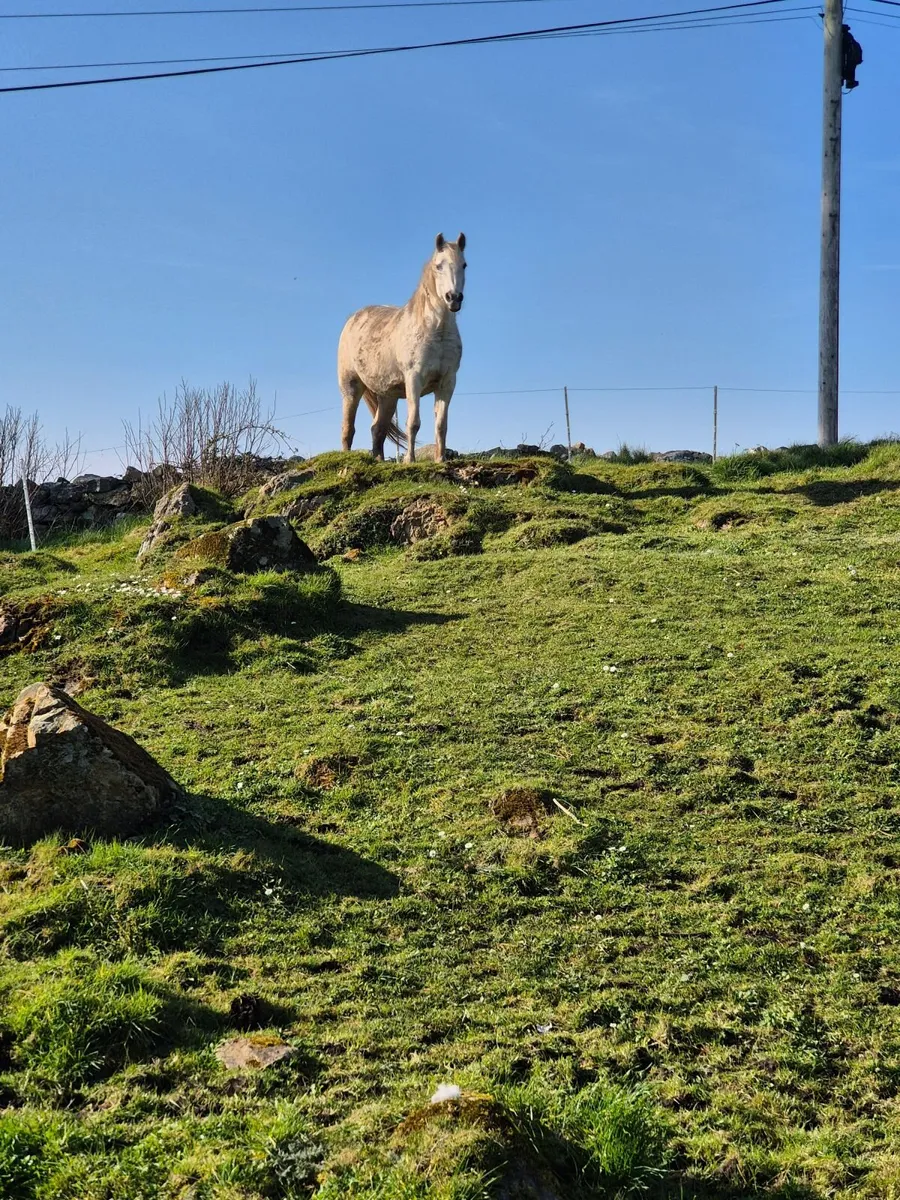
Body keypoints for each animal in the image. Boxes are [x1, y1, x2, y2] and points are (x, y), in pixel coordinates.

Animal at [337, 232, 466, 463]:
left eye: (464, 265)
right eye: (438, 266)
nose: (454, 298)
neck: (437, 331)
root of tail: (353, 318)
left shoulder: (447, 382)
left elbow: (441, 425)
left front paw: (440, 459)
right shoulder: (414, 379)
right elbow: (413, 422)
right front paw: (409, 460)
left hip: (387, 396)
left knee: (377, 429)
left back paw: (378, 460)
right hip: (351, 388)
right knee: (348, 429)